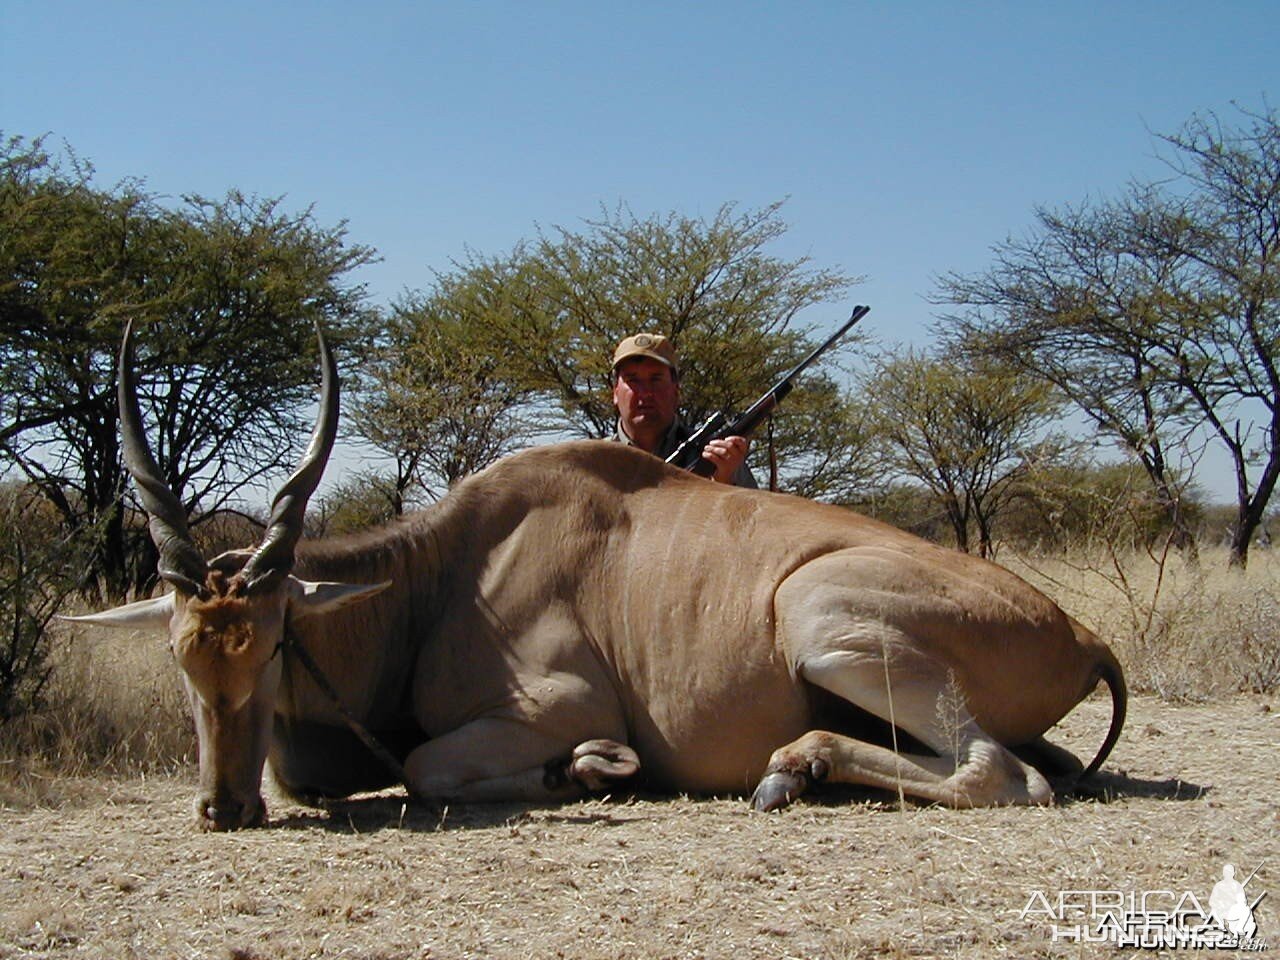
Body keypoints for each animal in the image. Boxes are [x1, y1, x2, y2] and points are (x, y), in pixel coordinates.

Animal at [74, 327, 1126, 829]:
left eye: (273, 643)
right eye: (182, 658)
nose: (223, 810)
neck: (439, 576)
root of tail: (1083, 637)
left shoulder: (560, 704)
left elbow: (426, 769)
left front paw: (586, 771)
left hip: (817, 615)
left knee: (1003, 777)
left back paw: (794, 766)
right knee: (1033, 766)